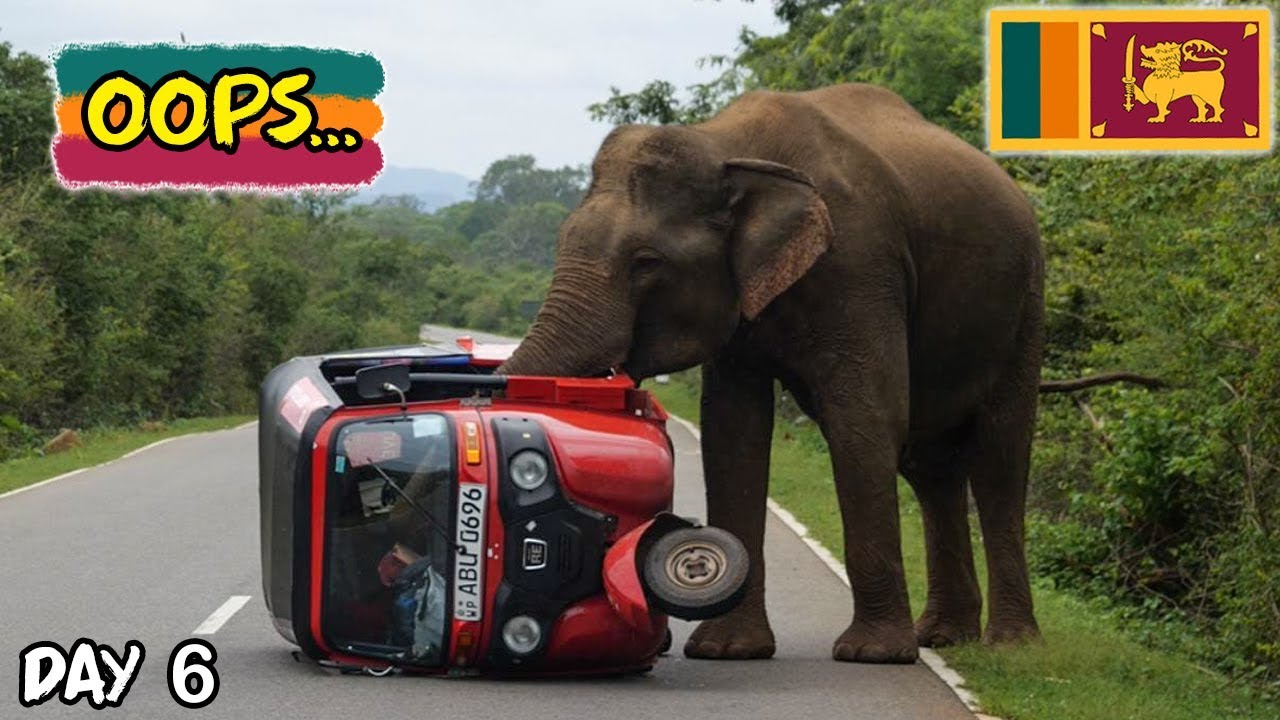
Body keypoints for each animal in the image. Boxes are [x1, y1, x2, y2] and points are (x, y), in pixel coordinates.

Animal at [498, 83, 1043, 663]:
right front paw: (727, 650)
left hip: (1026, 302)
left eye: (647, 262)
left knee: (998, 458)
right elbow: (733, 430)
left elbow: (865, 418)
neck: (725, 145)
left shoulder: (861, 264)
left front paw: (870, 655)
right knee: (931, 466)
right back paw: (942, 636)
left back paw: (1009, 646)